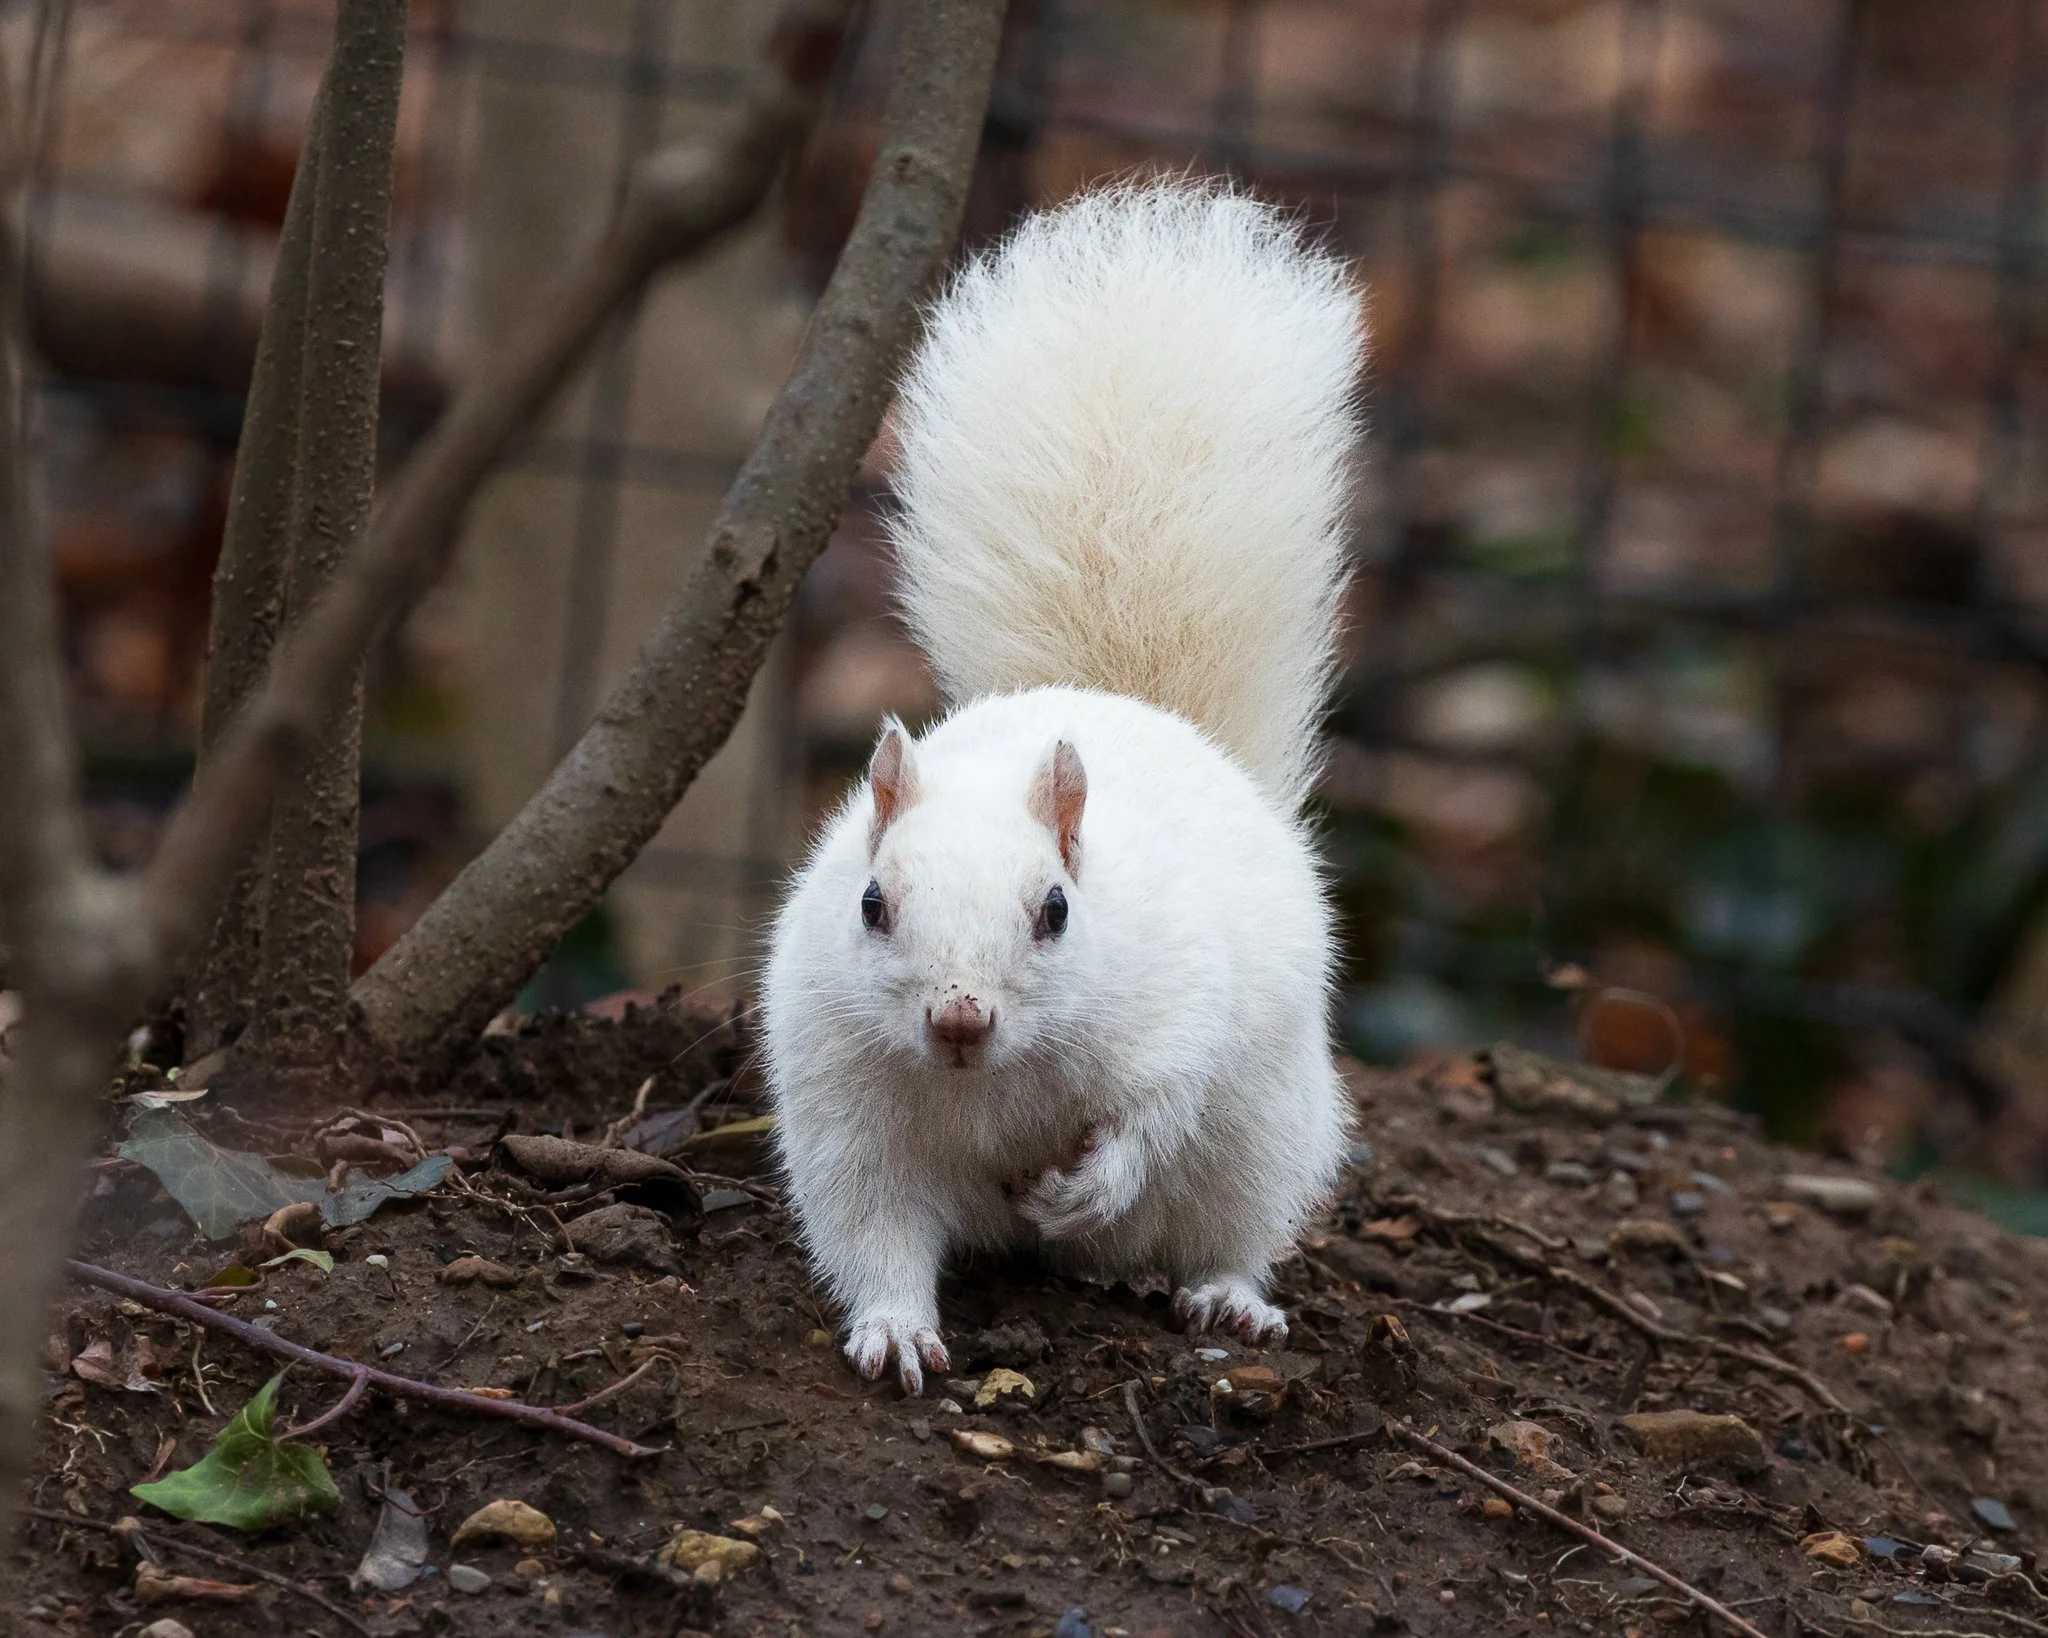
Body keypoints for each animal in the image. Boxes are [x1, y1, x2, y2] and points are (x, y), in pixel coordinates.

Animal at [763, 179, 1366, 1393]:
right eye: (870, 904)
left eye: (1056, 910)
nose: (958, 1017)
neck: (987, 1083)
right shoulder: (849, 1116)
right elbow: (874, 1234)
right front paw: (895, 1330)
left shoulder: (1175, 1014)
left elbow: (1150, 1118)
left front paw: (1082, 1188)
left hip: (1265, 1139)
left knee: (1227, 1227)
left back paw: (1227, 1299)